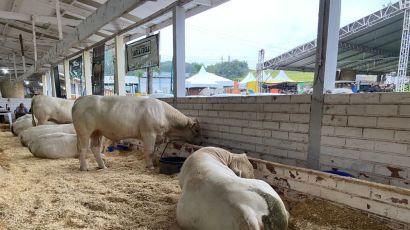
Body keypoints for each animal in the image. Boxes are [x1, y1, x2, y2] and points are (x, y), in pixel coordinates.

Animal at [73, 95, 202, 171]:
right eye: (196, 130)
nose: (200, 142)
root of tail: (80, 99)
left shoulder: (157, 136)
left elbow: (155, 152)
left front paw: (154, 163)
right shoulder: (149, 133)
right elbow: (149, 151)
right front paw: (150, 166)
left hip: (97, 131)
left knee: (95, 147)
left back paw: (102, 166)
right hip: (84, 132)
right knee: (83, 148)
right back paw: (84, 168)